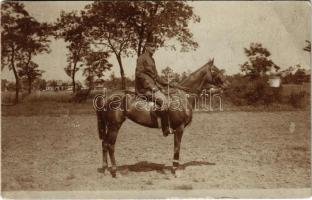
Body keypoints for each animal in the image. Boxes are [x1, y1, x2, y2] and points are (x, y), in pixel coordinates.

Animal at [93, 58, 229, 177]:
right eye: (215, 70)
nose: (227, 84)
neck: (183, 96)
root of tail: (106, 96)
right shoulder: (179, 129)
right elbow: (177, 148)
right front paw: (175, 170)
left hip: (109, 125)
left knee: (104, 144)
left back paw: (105, 169)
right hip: (114, 125)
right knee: (110, 145)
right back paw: (115, 171)